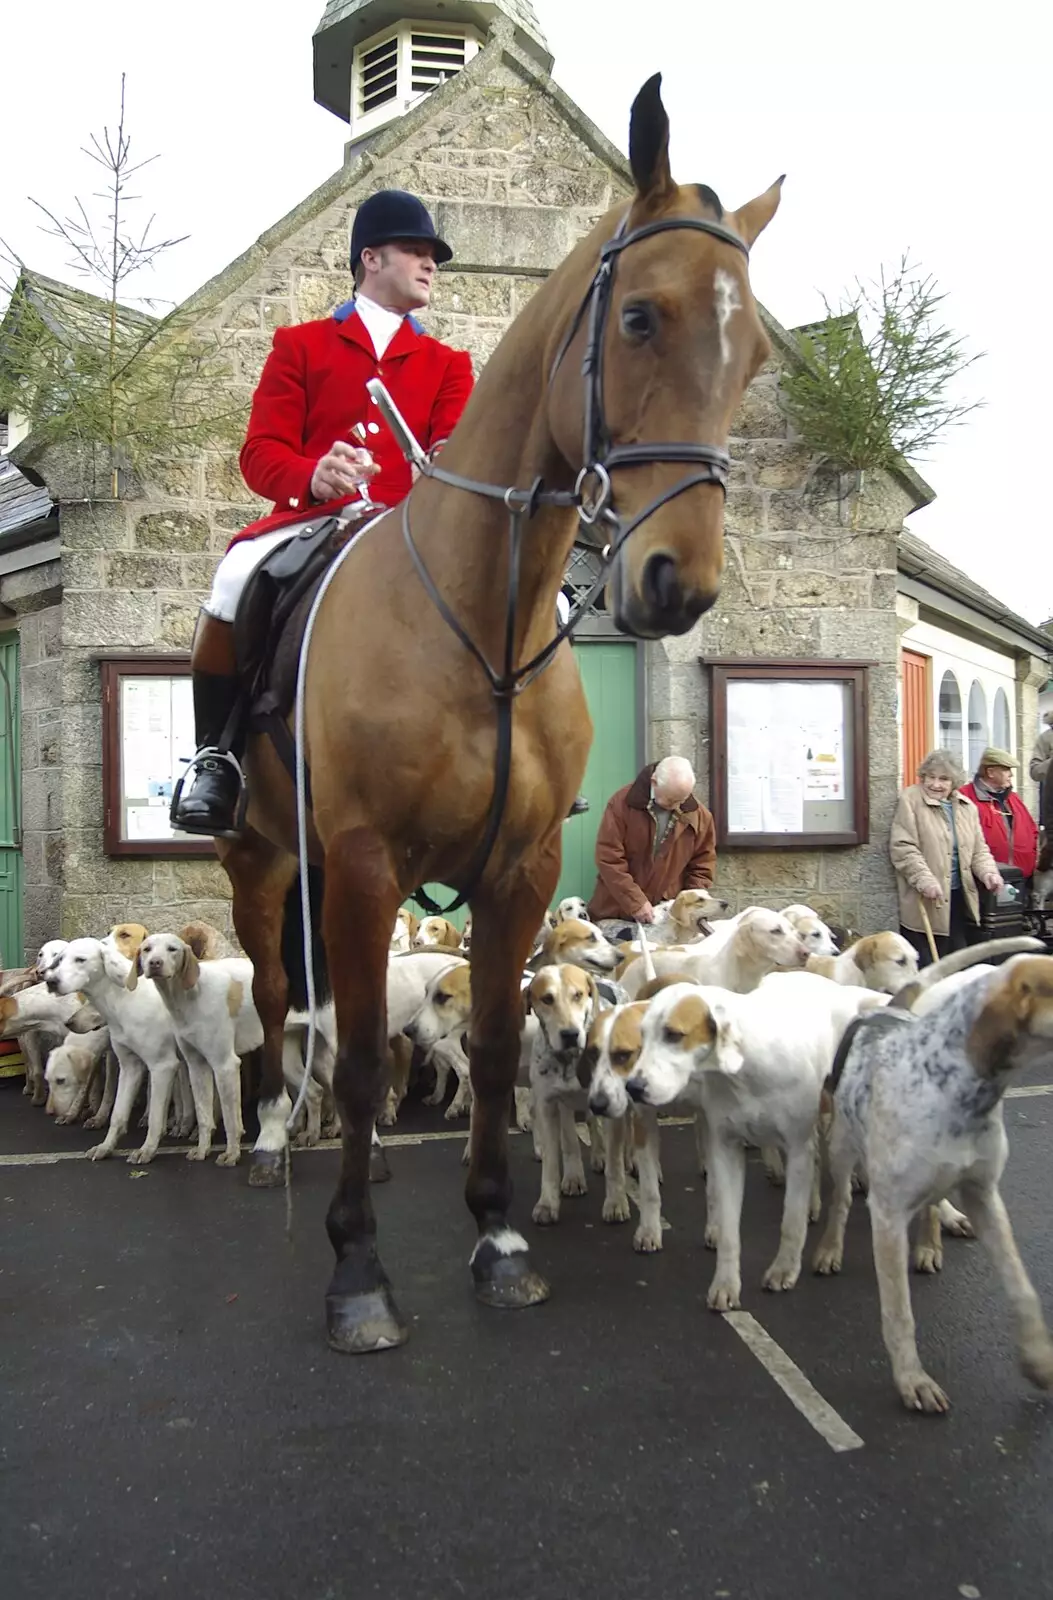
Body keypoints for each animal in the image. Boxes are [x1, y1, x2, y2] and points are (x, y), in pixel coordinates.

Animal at [216, 75, 777, 1350]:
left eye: (757, 353)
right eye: (641, 318)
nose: (678, 583)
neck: (487, 622)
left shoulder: (517, 869)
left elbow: (486, 1039)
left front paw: (499, 1234)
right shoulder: (366, 863)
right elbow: (361, 1058)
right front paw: (357, 1268)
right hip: (260, 856)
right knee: (276, 998)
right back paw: (271, 1139)